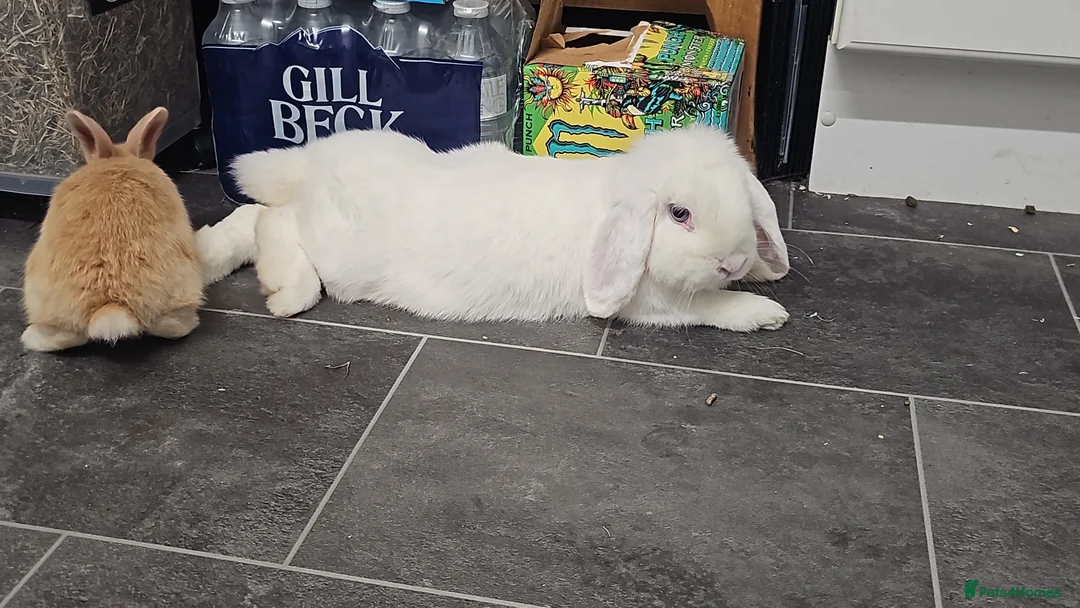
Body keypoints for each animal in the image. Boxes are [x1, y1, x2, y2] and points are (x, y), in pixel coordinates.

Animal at [202, 124, 790, 331]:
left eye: (743, 200)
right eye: (679, 214)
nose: (733, 261)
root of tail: (311, 162)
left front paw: (764, 271)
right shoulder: (652, 302)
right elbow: (708, 306)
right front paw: (765, 312)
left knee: (253, 216)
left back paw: (207, 257)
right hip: (338, 249)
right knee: (274, 222)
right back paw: (287, 293)